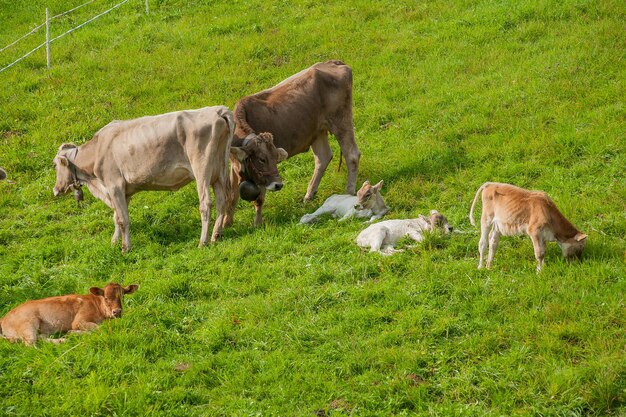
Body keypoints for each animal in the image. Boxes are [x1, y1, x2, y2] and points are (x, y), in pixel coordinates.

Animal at [0, 282, 138, 344]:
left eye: (122, 296)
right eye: (106, 298)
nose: (117, 311)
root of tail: (3, 318)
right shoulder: (79, 321)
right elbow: (99, 329)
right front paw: (74, 333)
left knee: (41, 338)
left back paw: (62, 340)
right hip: (28, 324)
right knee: (30, 344)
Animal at [53, 105, 278, 252]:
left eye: (55, 165)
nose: (55, 190)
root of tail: (217, 110)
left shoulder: (114, 185)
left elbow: (123, 219)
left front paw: (125, 248)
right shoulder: (123, 191)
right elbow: (117, 217)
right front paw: (114, 242)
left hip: (202, 170)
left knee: (206, 204)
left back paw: (203, 241)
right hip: (220, 171)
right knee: (223, 202)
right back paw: (217, 235)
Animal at [227, 59, 358, 224]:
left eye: (275, 158)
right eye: (262, 159)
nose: (278, 184)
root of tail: (333, 62)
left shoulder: (264, 176)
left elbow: (259, 200)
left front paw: (257, 224)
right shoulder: (235, 166)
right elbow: (231, 198)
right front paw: (225, 224)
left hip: (341, 120)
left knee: (352, 155)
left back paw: (349, 191)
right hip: (318, 131)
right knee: (323, 158)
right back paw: (309, 195)